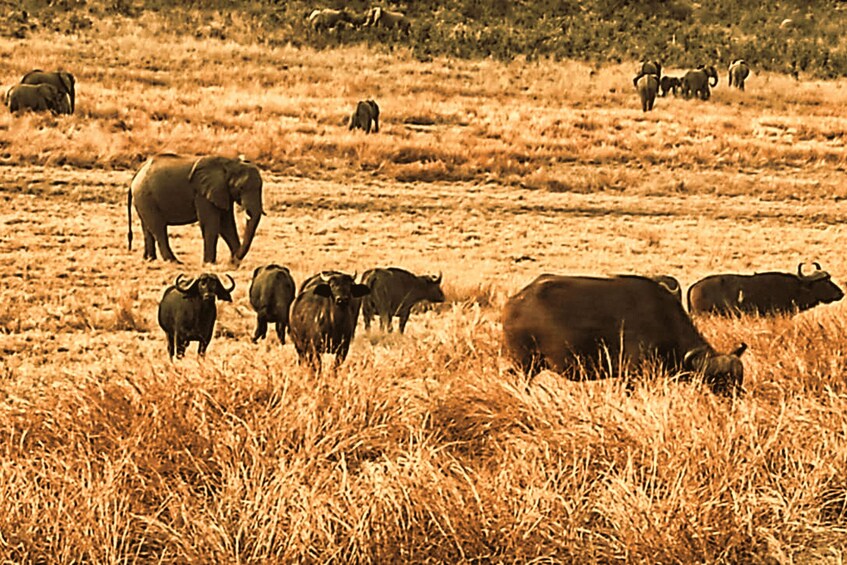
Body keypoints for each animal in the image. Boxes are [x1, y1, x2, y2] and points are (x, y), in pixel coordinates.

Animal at [128, 153, 263, 264]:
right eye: (241, 188)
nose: (232, 260)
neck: (230, 164)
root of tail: (136, 174)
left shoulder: (223, 192)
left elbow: (227, 225)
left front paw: (235, 263)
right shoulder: (202, 193)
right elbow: (211, 224)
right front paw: (209, 263)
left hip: (142, 199)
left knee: (147, 229)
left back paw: (150, 260)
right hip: (146, 198)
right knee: (158, 228)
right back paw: (175, 262)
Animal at [502, 275, 747, 396]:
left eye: (738, 377)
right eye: (719, 380)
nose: (736, 398)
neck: (663, 319)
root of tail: (515, 302)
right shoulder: (633, 374)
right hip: (525, 364)